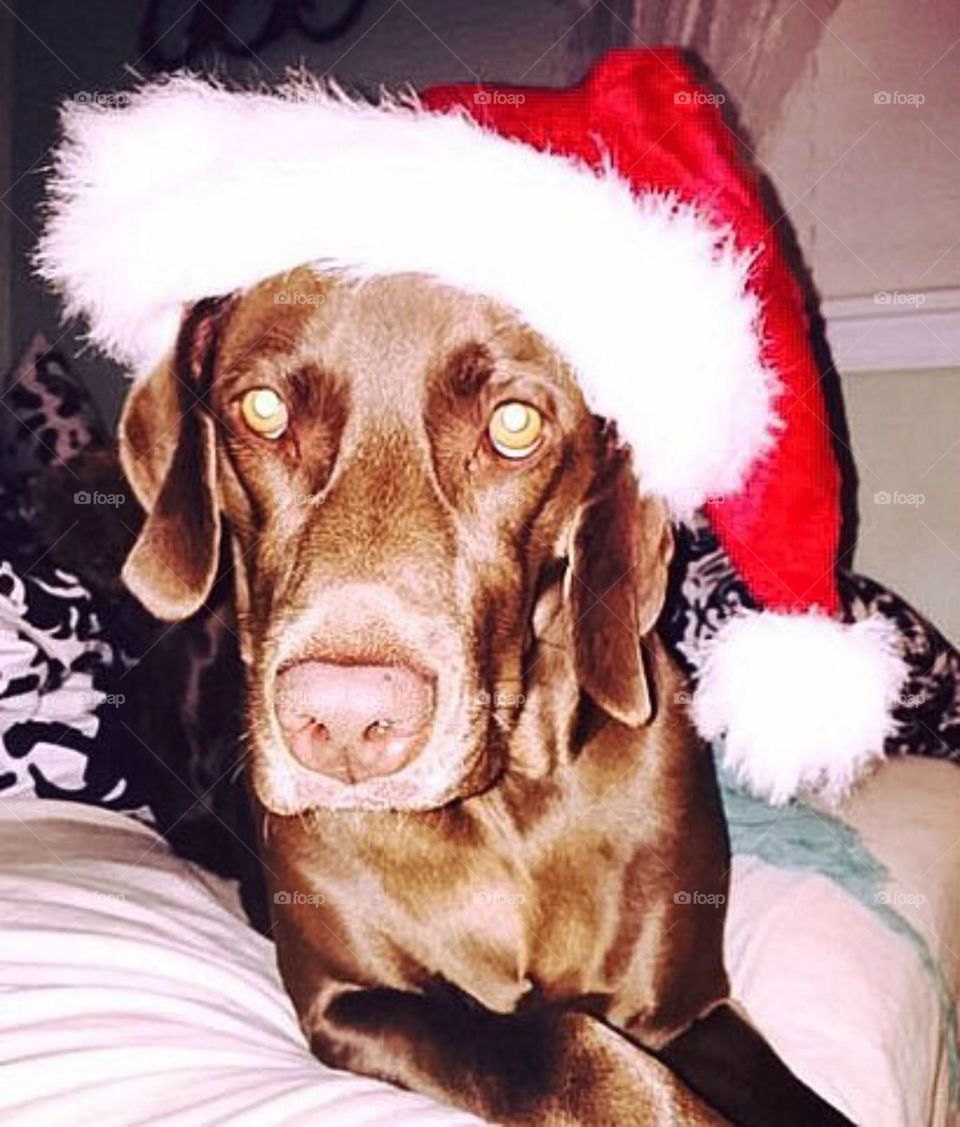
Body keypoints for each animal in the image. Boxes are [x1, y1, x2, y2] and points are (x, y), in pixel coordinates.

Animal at [116, 265, 851, 1127]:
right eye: (263, 410)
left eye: (515, 423)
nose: (342, 722)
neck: (509, 807)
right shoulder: (352, 1000)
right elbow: (567, 1042)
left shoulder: (687, 1008)